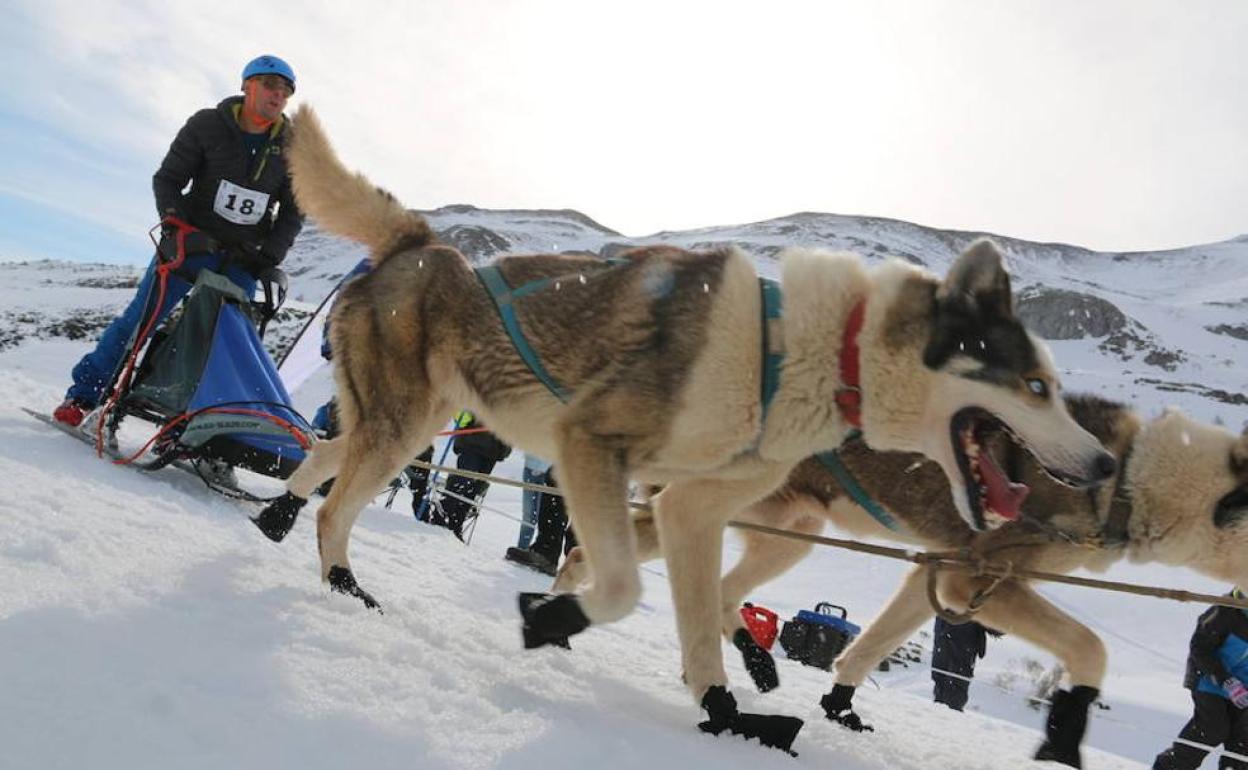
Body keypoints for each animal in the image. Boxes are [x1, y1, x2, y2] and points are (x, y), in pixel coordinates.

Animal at [253, 104, 1113, 748]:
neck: (811, 354)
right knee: (339, 504)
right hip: (405, 426)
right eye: (1038, 385)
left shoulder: (690, 507)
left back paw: (276, 517)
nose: (1105, 464)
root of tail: (425, 242)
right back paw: (340, 581)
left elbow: (699, 621)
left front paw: (727, 711)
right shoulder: (593, 449)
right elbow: (623, 586)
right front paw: (554, 617)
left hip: (405, 422)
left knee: (325, 451)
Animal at [559, 396, 1248, 763]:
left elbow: (868, 648)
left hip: (789, 530)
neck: (1129, 477)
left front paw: (839, 705)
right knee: (610, 556)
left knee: (712, 591)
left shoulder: (939, 576)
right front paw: (1065, 730)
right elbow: (1091, 648)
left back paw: (743, 662)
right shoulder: (975, 583)